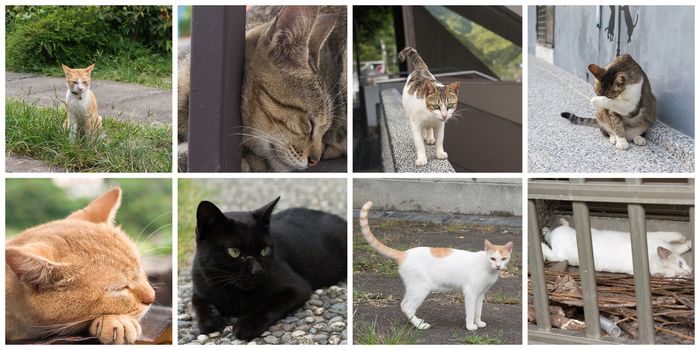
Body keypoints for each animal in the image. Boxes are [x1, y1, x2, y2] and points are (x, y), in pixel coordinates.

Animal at [191, 197, 348, 340]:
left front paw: (247, 324)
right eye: (234, 252)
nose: (258, 271)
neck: (232, 291)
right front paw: (209, 320)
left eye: (265, 250)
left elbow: (269, 304)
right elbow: (198, 303)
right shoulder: (199, 287)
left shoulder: (298, 288)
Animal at [358, 202, 512, 330]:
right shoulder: (470, 292)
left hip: (413, 287)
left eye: (504, 259)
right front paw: (470, 326)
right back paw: (420, 325)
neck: (488, 269)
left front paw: (479, 323)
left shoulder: (480, 294)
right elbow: (470, 311)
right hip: (421, 287)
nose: (498, 266)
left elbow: (478, 311)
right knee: (406, 306)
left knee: (404, 304)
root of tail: (404, 253)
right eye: (492, 258)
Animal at [540, 217, 692, 278]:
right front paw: (685, 239)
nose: (688, 273)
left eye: (681, 264)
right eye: (677, 276)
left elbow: (675, 243)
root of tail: (556, 236)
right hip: (559, 256)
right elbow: (672, 237)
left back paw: (549, 227)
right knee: (550, 252)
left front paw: (687, 242)